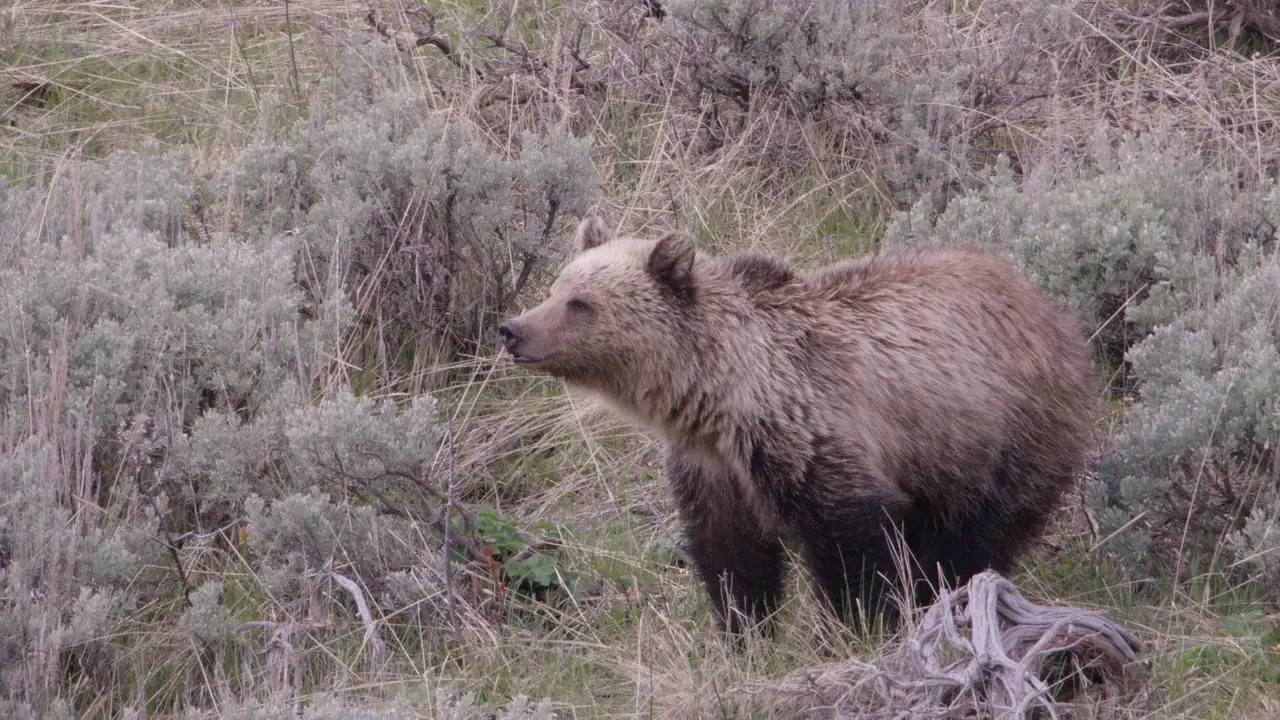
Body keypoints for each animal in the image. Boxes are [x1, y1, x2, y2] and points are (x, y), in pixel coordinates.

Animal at [499, 213, 1100, 632]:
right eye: (556, 287)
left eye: (580, 303)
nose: (512, 329)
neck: (720, 397)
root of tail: (1055, 312)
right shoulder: (715, 470)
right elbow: (731, 559)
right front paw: (745, 631)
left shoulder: (812, 436)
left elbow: (854, 544)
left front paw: (860, 624)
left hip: (1003, 433)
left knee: (975, 535)